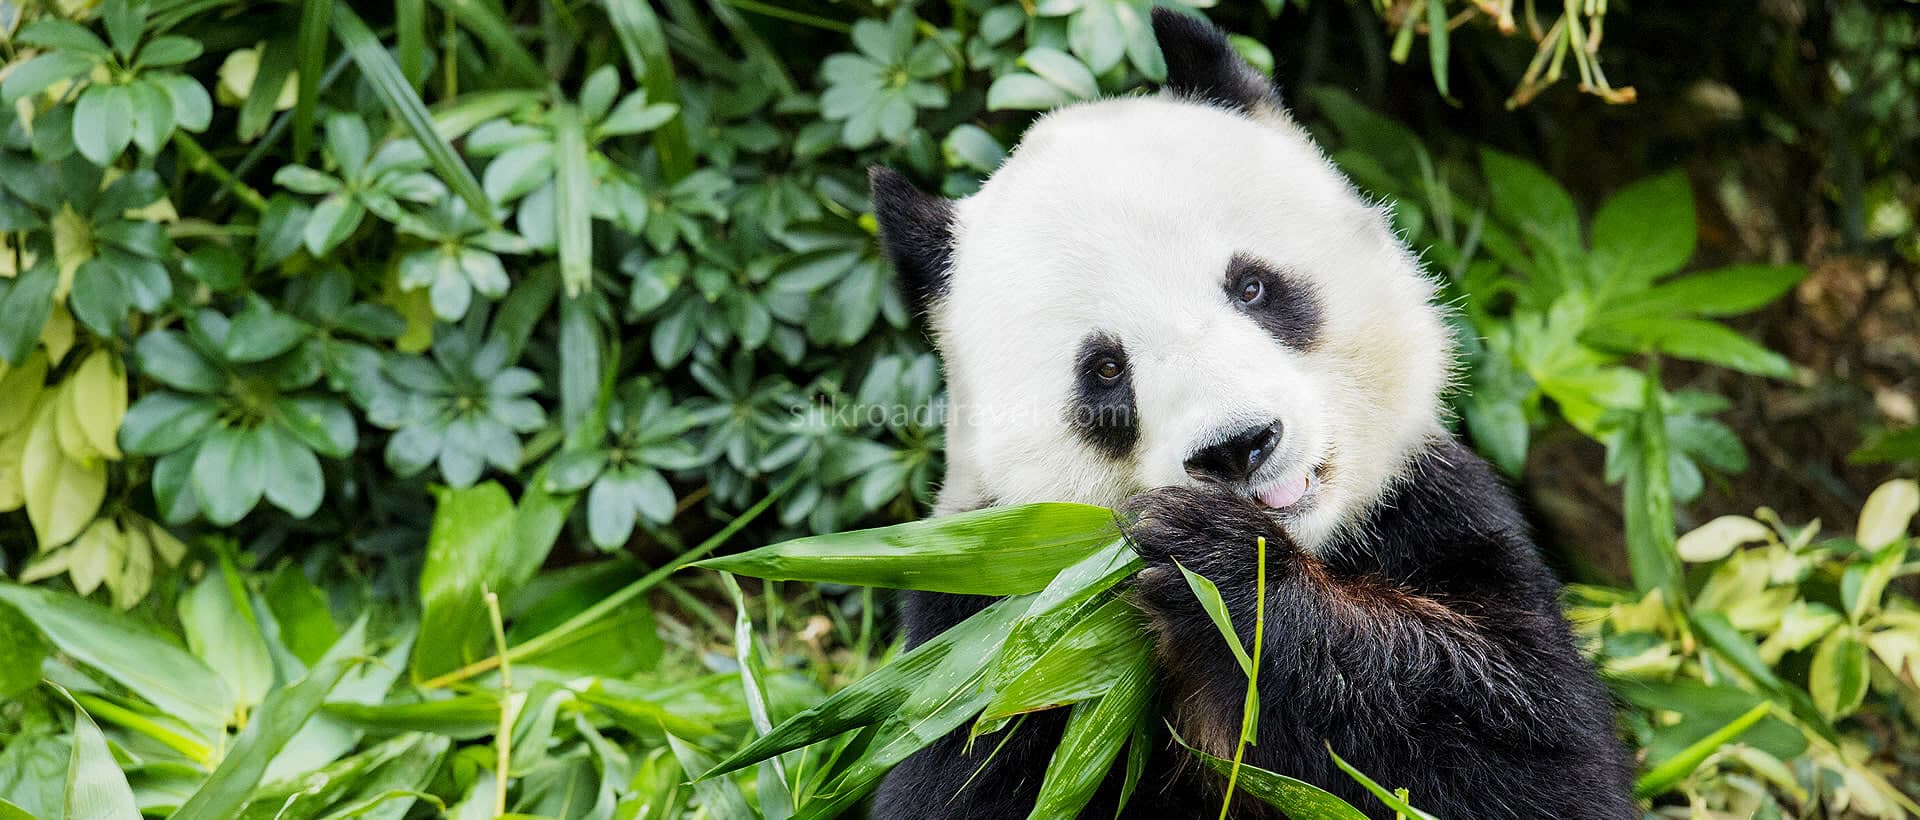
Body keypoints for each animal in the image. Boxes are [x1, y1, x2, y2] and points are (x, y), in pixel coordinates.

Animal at [864, 9, 1634, 820]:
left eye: (1253, 287)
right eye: (1104, 369)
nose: (1237, 446)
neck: (1314, 543)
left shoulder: (1435, 516)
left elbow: (1530, 751)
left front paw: (1223, 570)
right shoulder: (986, 630)